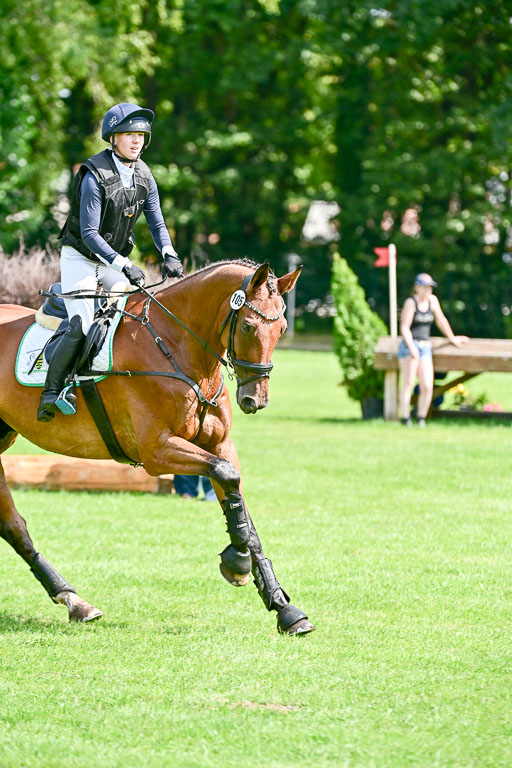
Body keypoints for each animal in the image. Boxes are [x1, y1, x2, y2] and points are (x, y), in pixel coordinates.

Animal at [0, 259, 315, 635]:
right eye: (249, 327)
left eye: (281, 329)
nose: (256, 400)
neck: (179, 346)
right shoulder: (157, 451)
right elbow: (227, 477)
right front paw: (236, 563)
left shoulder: (219, 446)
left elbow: (240, 505)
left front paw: (284, 607)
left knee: (12, 525)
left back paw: (74, 601)